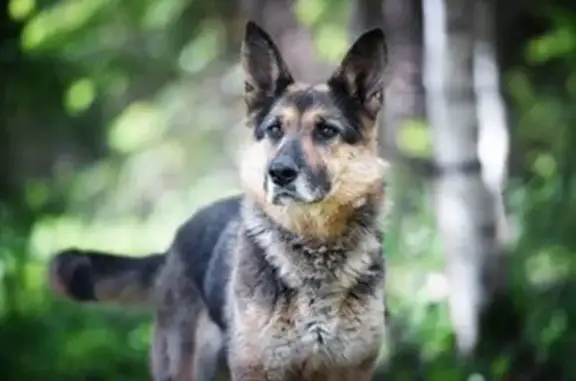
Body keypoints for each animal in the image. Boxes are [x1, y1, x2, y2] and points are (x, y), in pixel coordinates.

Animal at [49, 21, 390, 380]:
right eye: (275, 129)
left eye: (326, 130)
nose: (279, 173)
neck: (313, 251)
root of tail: (174, 245)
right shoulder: (258, 369)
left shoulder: (351, 369)